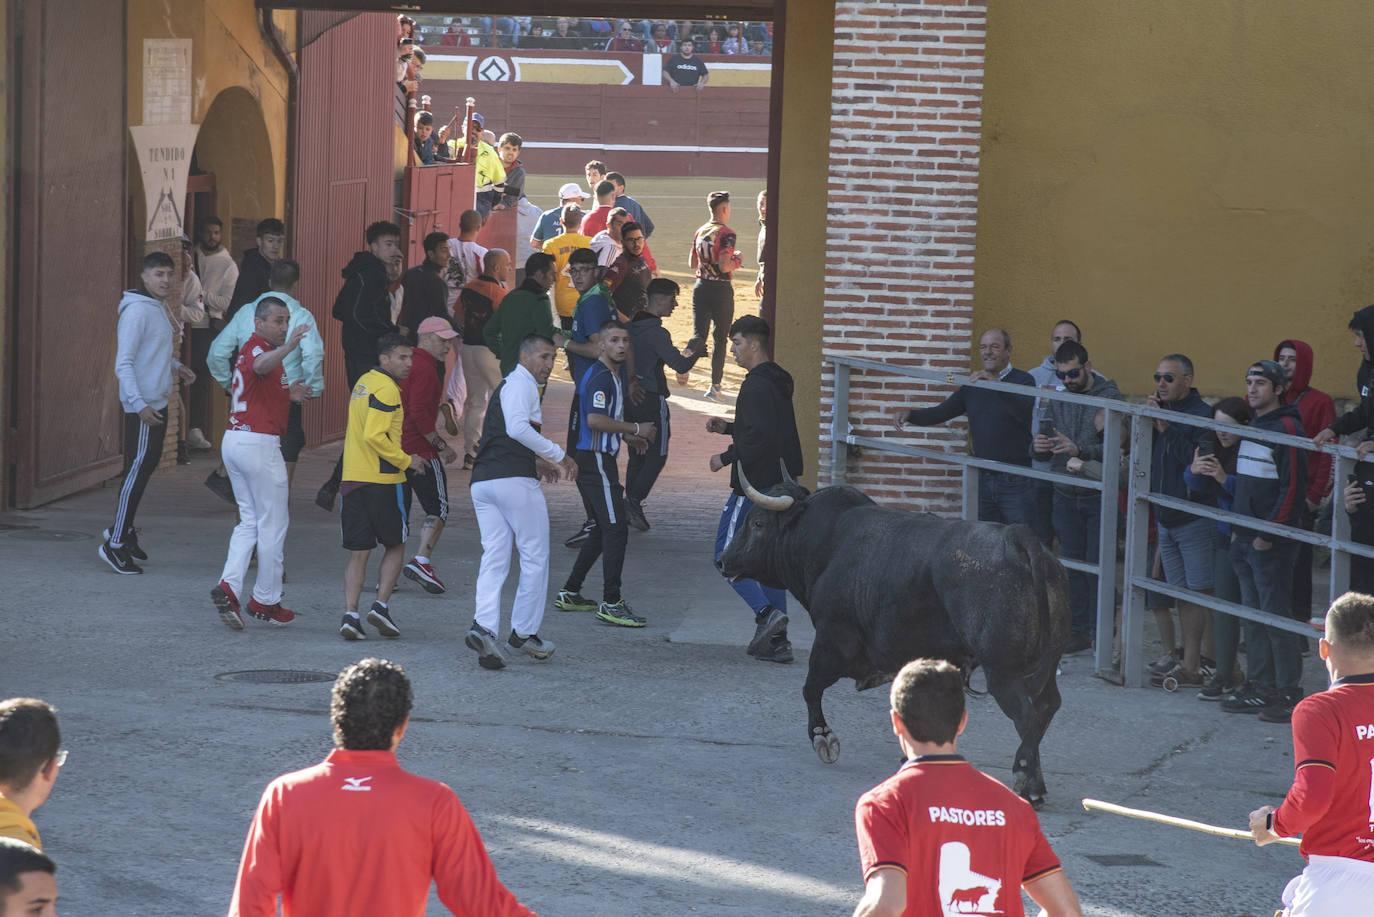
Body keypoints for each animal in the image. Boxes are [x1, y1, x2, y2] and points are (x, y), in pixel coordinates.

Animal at [719, 481, 1071, 802]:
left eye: (758, 523)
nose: (724, 560)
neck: (828, 540)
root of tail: (1016, 537)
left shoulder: (834, 639)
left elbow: (811, 688)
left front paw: (823, 736)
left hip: (1003, 672)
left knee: (1027, 714)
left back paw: (1028, 782)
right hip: (1044, 663)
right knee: (1048, 706)